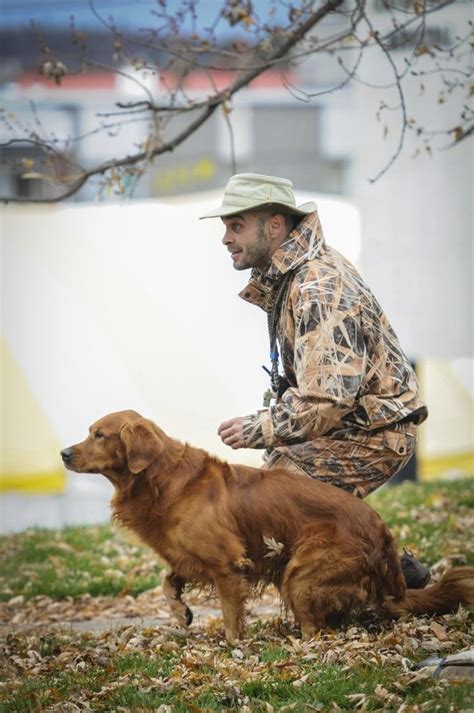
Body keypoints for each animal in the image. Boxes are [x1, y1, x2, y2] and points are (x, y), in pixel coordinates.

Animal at [60, 408, 474, 644]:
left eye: (99, 435)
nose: (63, 453)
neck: (161, 479)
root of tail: (382, 533)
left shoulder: (228, 564)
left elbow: (230, 618)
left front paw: (232, 647)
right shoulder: (189, 554)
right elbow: (168, 579)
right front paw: (180, 611)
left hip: (300, 575)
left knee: (316, 630)